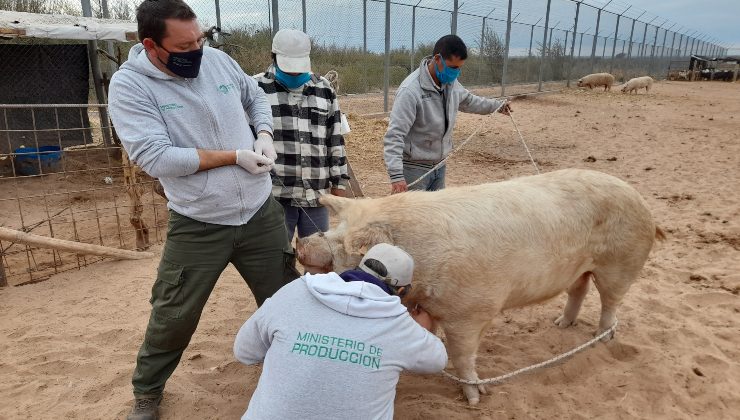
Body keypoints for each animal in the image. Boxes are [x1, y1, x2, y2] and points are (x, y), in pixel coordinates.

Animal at [296, 169, 664, 406]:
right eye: (334, 229)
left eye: (346, 244)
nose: (304, 245)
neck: (421, 258)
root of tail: (642, 202)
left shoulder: (471, 311)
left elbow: (462, 355)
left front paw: (475, 400)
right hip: (579, 267)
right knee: (579, 290)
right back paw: (560, 325)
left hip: (621, 263)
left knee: (611, 302)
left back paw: (602, 339)